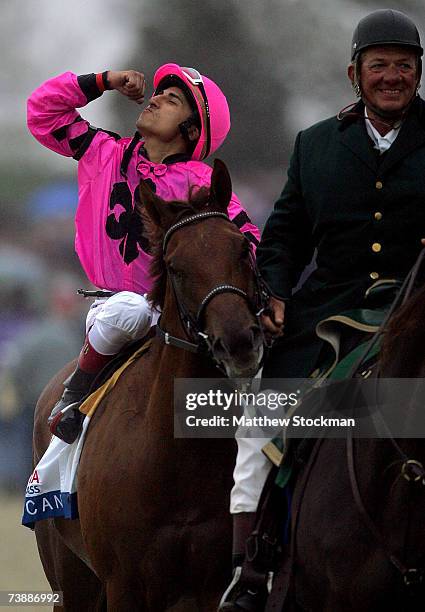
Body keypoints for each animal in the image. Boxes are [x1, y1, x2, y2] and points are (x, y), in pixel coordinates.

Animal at [33, 160, 264, 608]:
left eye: (242, 249)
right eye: (174, 266)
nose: (238, 340)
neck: (179, 457)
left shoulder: (211, 584)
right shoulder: (124, 582)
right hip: (70, 574)